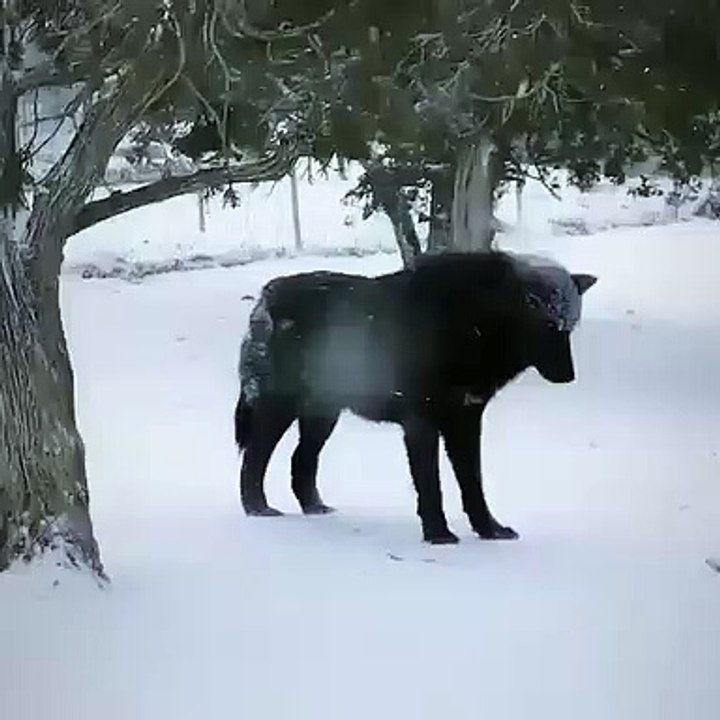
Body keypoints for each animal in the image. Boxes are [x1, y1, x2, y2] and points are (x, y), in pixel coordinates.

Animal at [233, 251, 596, 544]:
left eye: (569, 327)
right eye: (547, 326)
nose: (569, 376)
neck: (471, 326)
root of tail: (265, 296)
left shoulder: (466, 421)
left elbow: (473, 484)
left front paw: (489, 530)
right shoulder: (421, 422)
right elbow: (430, 484)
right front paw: (439, 535)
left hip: (323, 416)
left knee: (300, 460)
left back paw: (315, 508)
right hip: (281, 410)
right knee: (254, 457)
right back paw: (258, 509)